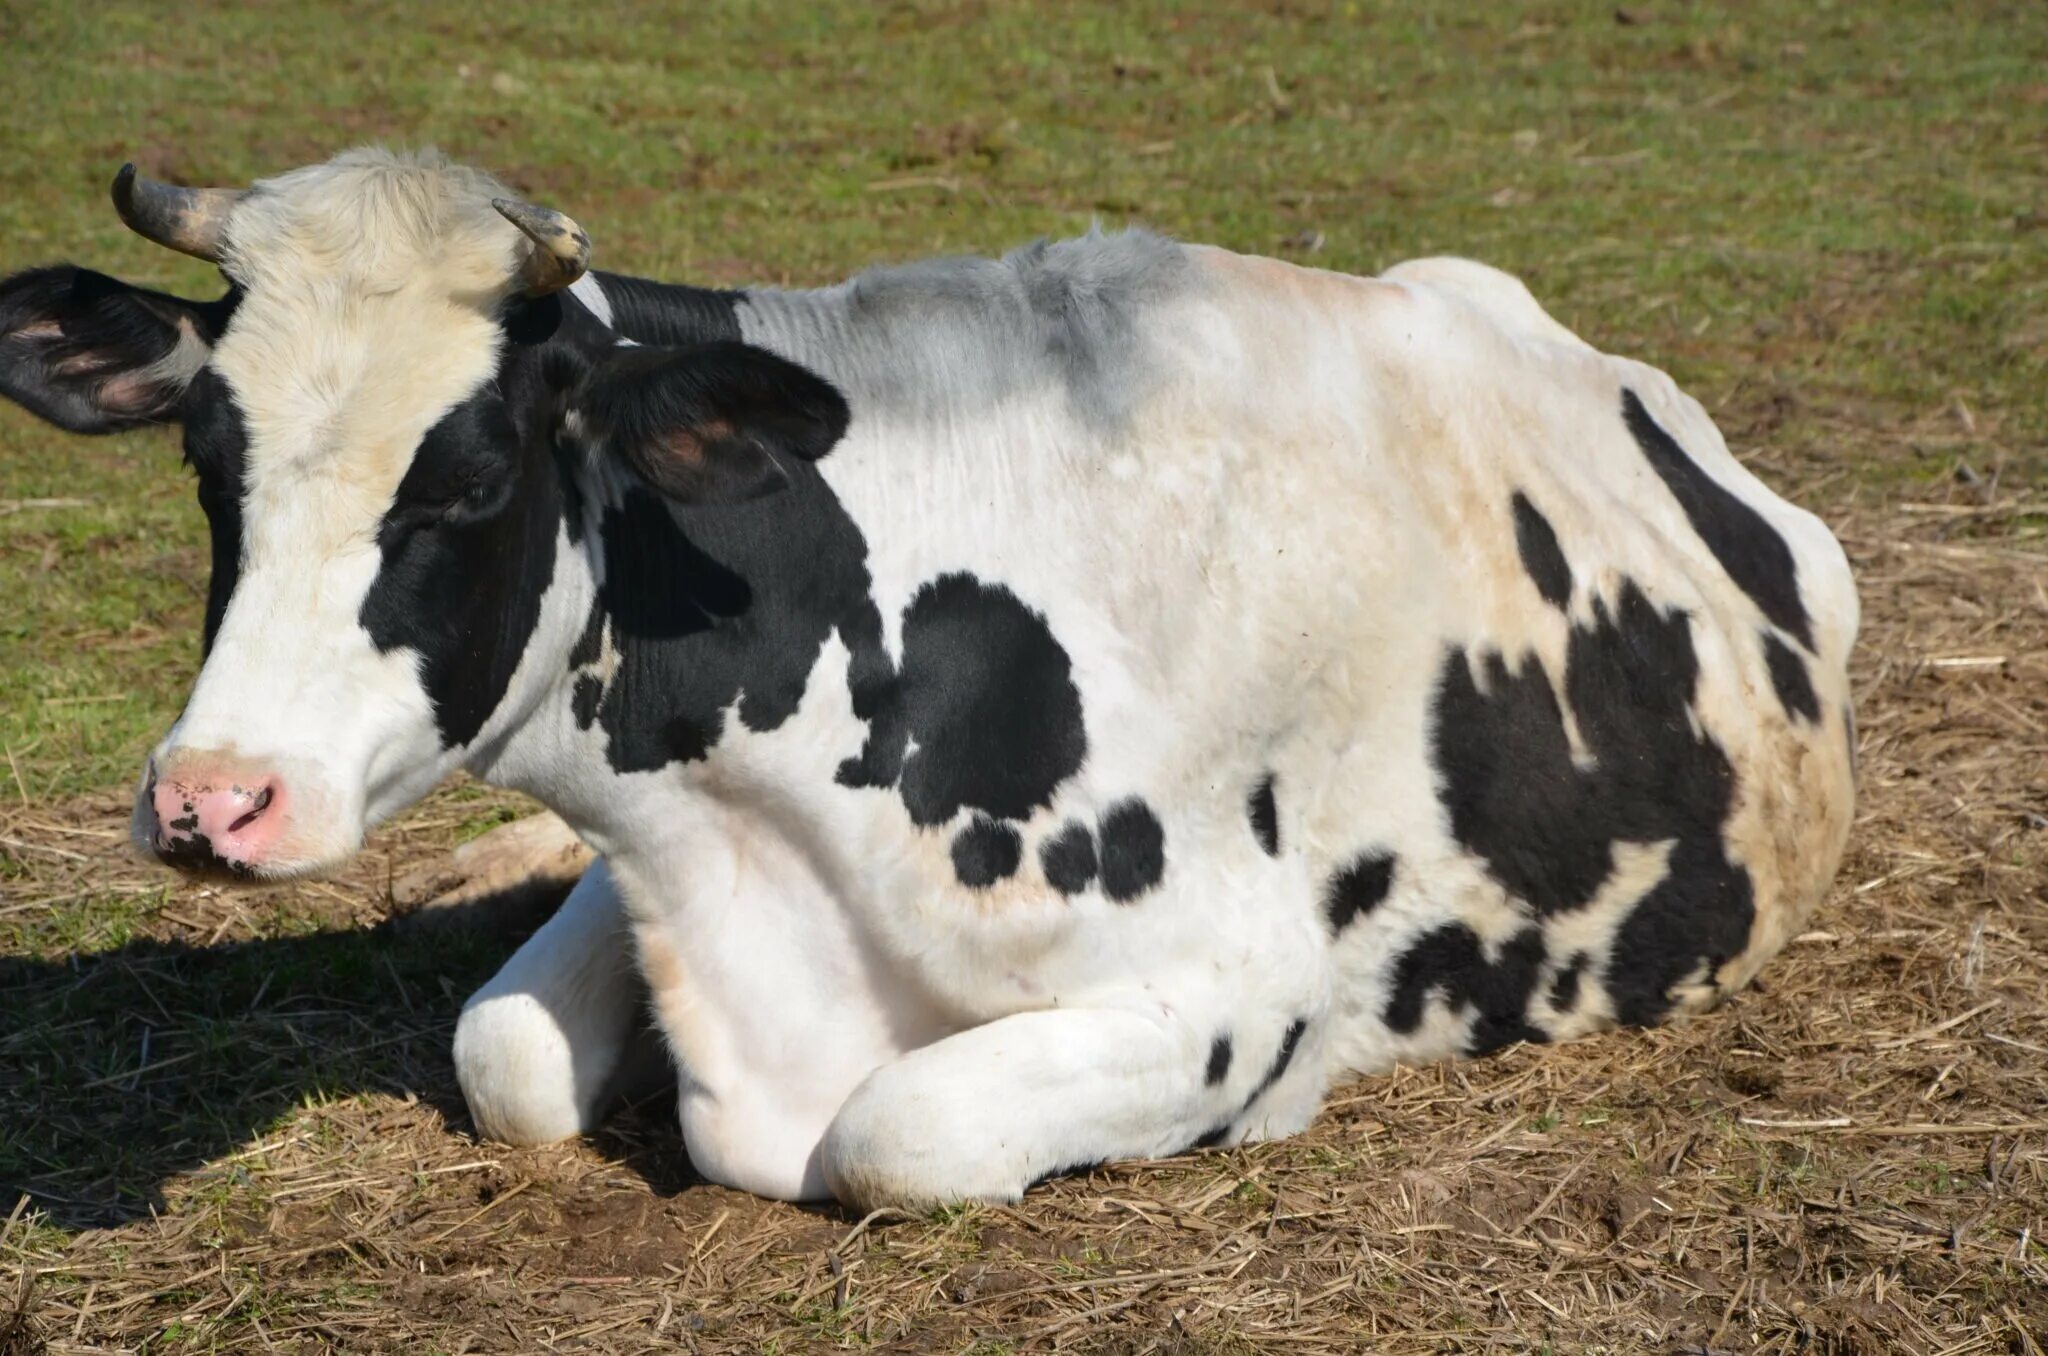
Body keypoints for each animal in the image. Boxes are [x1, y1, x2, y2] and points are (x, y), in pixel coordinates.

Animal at [0, 151, 1859, 1212]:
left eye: (466, 479)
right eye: (209, 461)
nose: (212, 799)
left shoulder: (1240, 991)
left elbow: (898, 1133)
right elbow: (504, 1053)